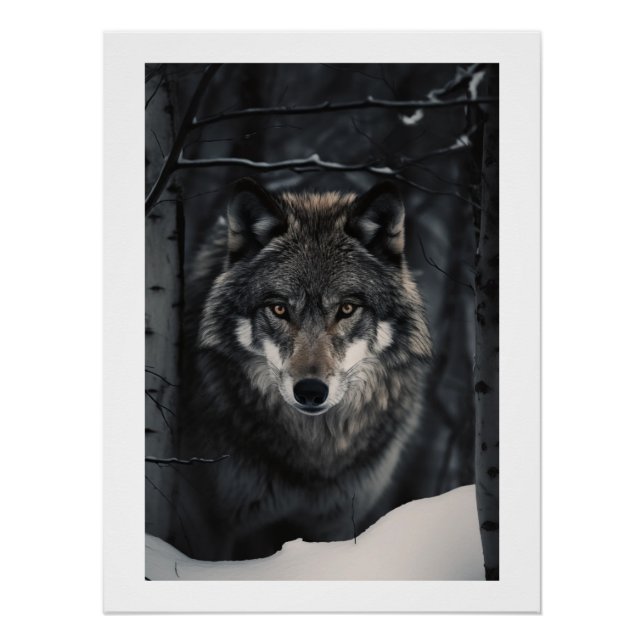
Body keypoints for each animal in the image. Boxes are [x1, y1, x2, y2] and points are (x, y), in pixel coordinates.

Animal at [172, 178, 432, 561]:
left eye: (346, 308)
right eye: (279, 309)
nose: (310, 391)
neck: (313, 455)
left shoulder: (337, 522)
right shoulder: (210, 524)